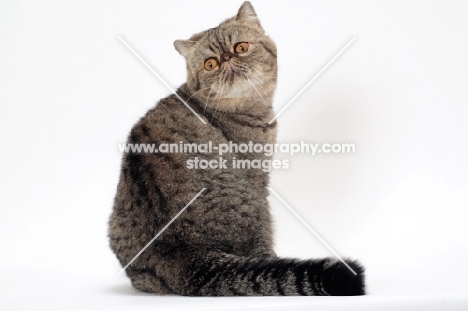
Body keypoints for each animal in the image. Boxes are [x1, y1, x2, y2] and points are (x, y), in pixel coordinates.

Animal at [109, 1, 366, 298]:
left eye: (240, 47)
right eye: (210, 63)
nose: (228, 59)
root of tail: (184, 253)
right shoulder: (258, 173)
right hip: (260, 209)